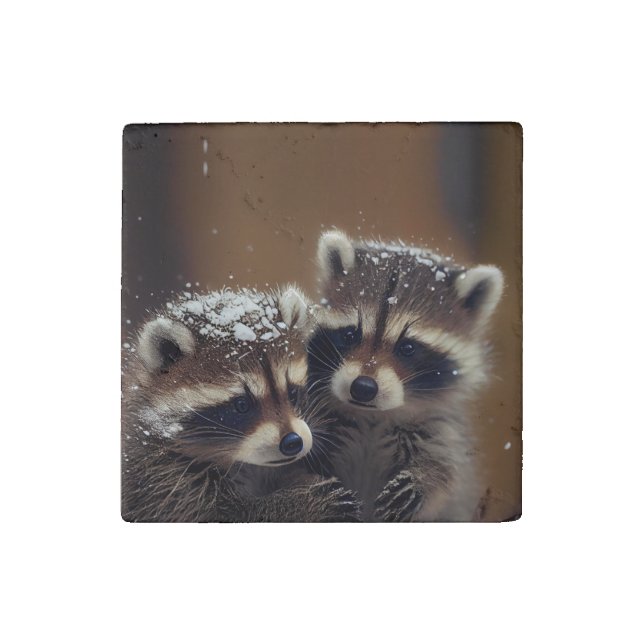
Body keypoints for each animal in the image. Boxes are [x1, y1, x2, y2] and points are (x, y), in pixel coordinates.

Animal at [122, 286, 359, 522]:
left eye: (292, 393)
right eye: (242, 405)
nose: (293, 442)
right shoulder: (159, 475)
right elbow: (224, 515)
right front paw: (301, 502)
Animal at [308, 230, 504, 521]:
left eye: (408, 348)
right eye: (350, 335)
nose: (363, 387)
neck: (373, 418)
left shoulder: (440, 427)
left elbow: (447, 470)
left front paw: (424, 480)